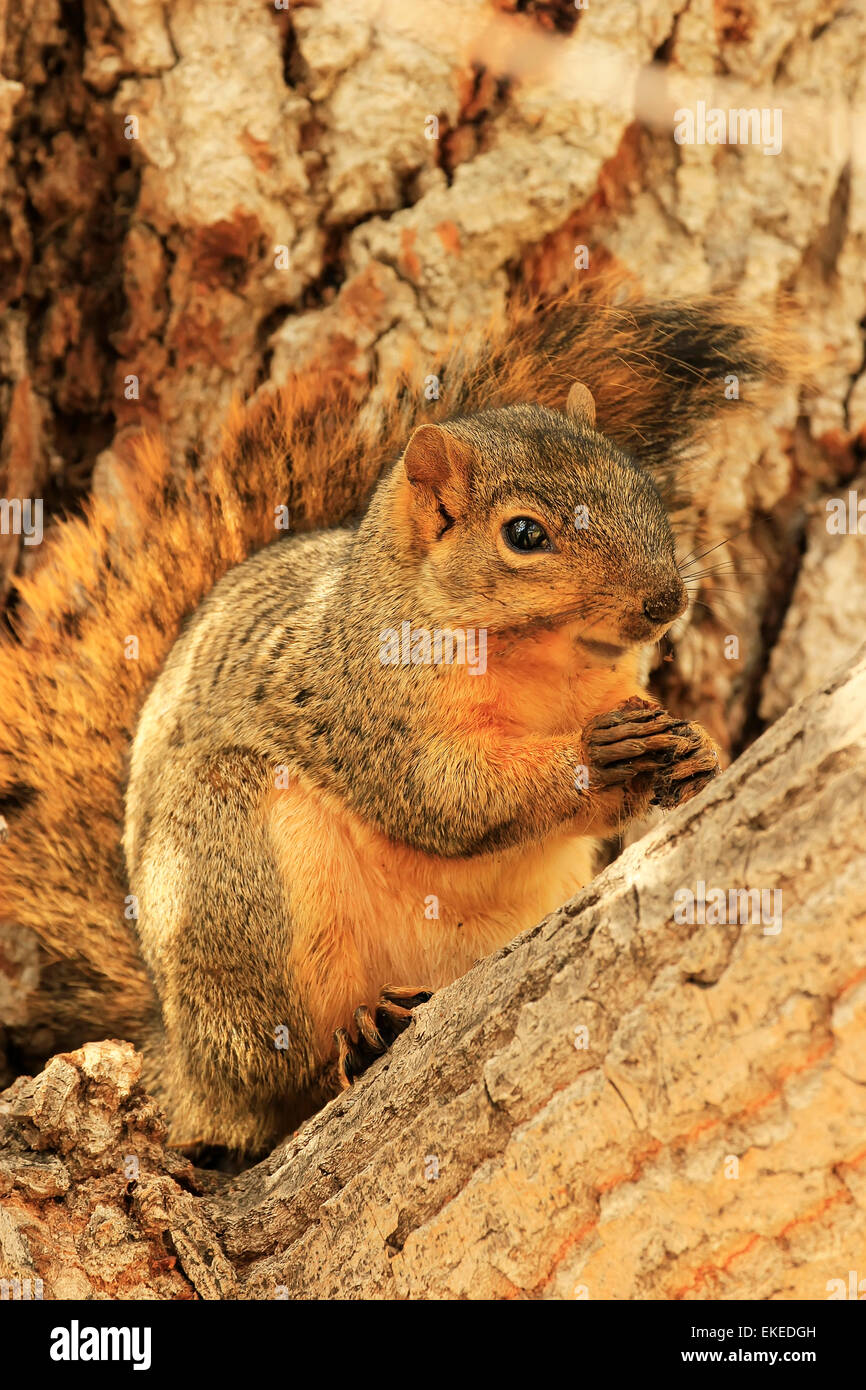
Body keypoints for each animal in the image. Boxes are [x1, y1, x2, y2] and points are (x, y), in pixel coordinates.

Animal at [0, 273, 793, 1157]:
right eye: (524, 534)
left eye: (640, 487)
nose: (665, 601)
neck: (543, 666)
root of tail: (183, 1061)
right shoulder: (363, 708)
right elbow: (447, 799)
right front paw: (595, 761)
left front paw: (695, 748)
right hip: (229, 866)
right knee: (280, 1083)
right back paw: (357, 1035)